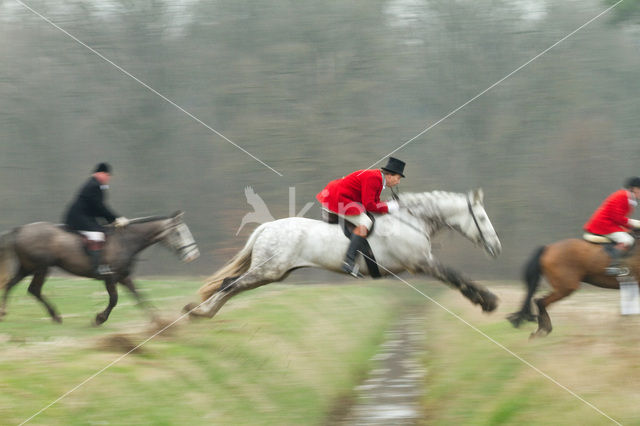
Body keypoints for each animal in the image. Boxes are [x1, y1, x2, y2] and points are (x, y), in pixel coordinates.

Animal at [0, 211, 199, 324]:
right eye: (178, 233)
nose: (193, 255)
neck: (126, 241)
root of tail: (21, 229)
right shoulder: (110, 278)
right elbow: (114, 300)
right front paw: (99, 319)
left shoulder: (124, 277)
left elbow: (139, 295)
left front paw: (157, 320)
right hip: (41, 268)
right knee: (34, 289)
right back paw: (55, 316)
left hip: (28, 267)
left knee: (11, 284)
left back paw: (4, 312)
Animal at [182, 190, 502, 320]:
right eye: (482, 219)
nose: (496, 247)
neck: (411, 220)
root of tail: (266, 227)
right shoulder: (421, 262)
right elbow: (456, 277)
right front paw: (488, 301)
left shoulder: (422, 263)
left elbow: (456, 277)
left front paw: (487, 301)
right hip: (267, 270)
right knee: (229, 285)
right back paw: (199, 312)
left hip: (273, 273)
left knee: (232, 287)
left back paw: (202, 313)